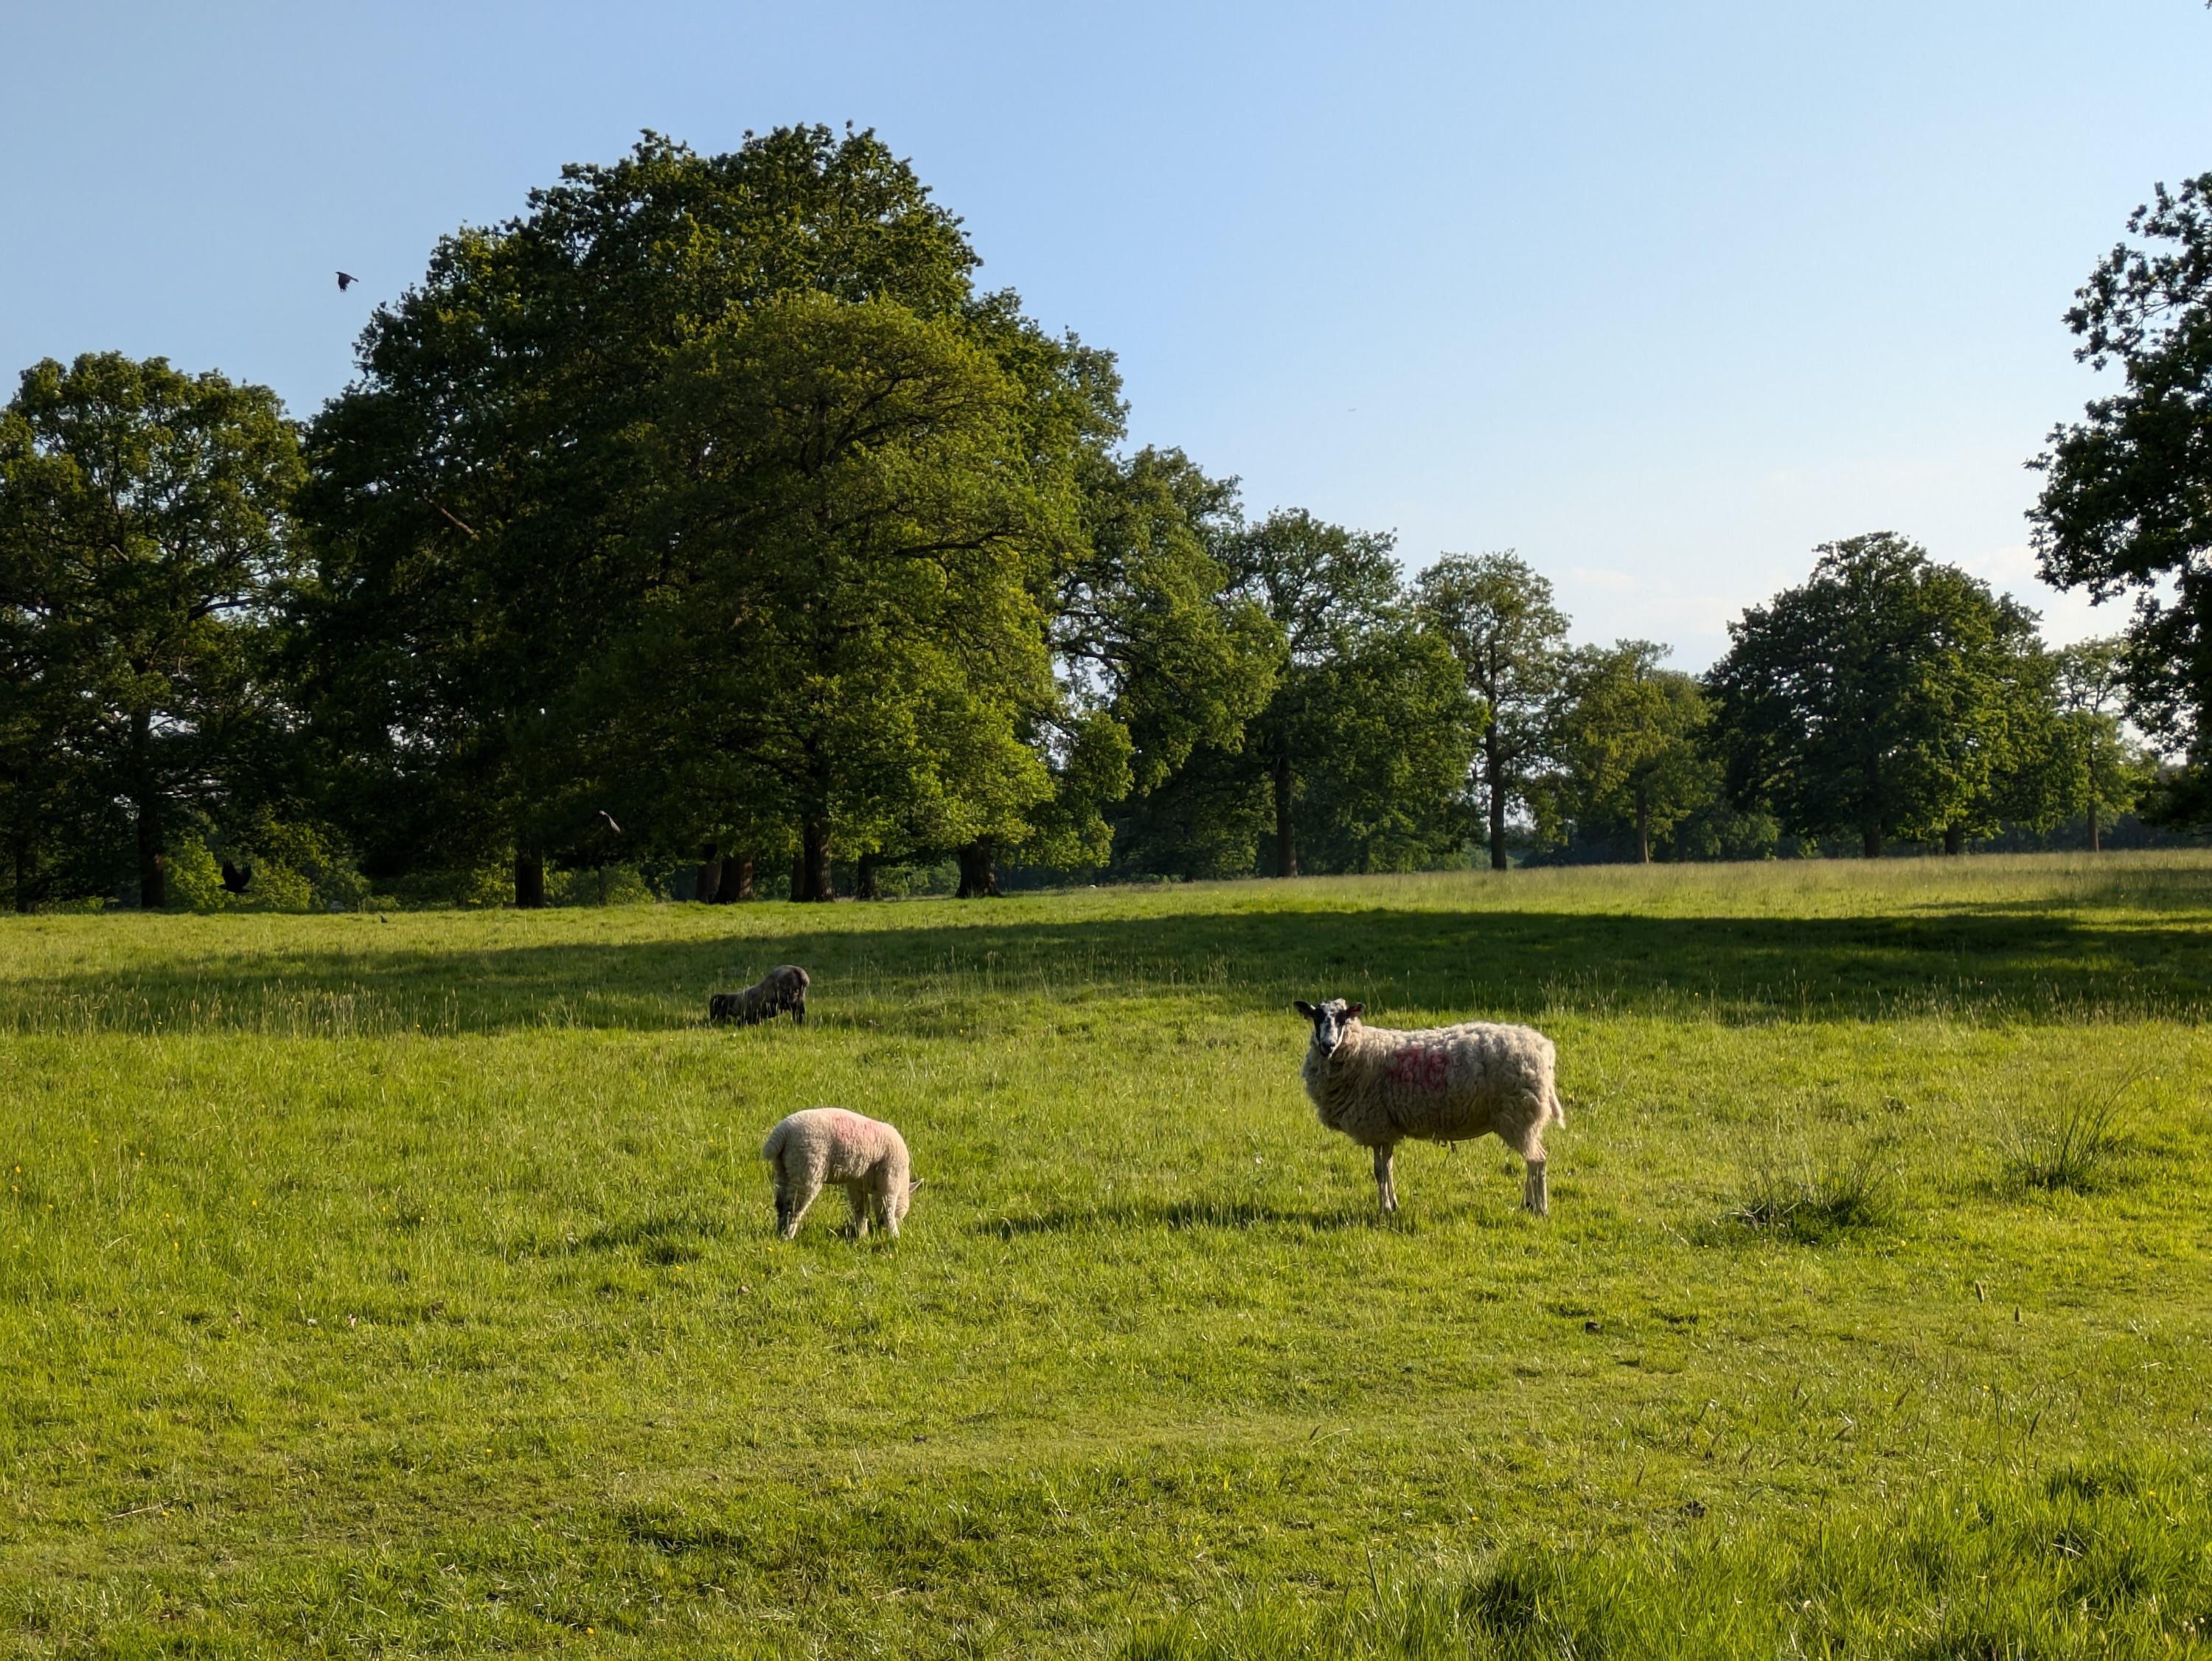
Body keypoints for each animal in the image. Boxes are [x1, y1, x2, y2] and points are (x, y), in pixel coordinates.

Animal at [708, 960, 814, 1026]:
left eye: (714, 1007)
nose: (712, 1019)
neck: (734, 1002)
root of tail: (799, 973)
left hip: (791, 997)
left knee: (798, 1011)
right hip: (800, 997)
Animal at [757, 1110, 920, 1239]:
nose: (879, 1228)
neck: (903, 1182)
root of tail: (783, 1133)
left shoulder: (856, 1184)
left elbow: (860, 1208)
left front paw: (862, 1235)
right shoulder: (890, 1178)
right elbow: (887, 1208)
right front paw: (894, 1235)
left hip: (784, 1168)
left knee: (781, 1202)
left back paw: (780, 1233)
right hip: (807, 1168)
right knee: (794, 1206)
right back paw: (788, 1236)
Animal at [1292, 1000, 1566, 1221]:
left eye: (1343, 1018)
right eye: (1316, 1017)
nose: (1327, 1045)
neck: (1360, 1050)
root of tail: (1544, 1050)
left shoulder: (1376, 1124)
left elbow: (1379, 1171)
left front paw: (1384, 1209)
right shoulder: (1388, 1127)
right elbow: (1388, 1167)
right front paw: (1393, 1204)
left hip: (1519, 1114)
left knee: (1538, 1161)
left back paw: (1540, 1209)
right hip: (1524, 1118)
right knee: (1532, 1160)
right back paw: (1527, 1205)